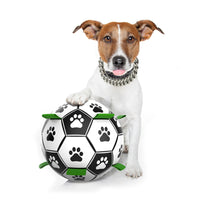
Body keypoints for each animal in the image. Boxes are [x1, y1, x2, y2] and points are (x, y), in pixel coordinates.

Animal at [66, 19, 163, 177]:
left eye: (131, 38)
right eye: (107, 38)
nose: (119, 60)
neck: (116, 82)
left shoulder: (135, 119)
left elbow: (135, 144)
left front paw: (133, 166)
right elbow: (89, 90)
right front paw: (79, 94)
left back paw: (125, 146)